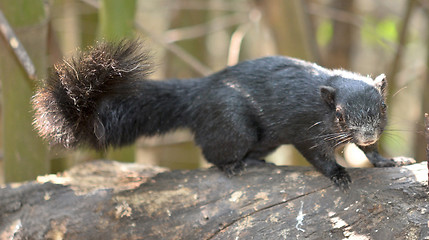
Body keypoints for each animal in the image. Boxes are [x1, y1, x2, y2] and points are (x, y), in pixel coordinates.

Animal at [32, 39, 414, 190]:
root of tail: (199, 92)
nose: (368, 132)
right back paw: (233, 165)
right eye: (339, 114)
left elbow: (370, 153)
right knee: (212, 151)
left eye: (383, 107)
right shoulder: (306, 129)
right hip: (234, 127)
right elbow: (317, 156)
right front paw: (339, 174)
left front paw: (390, 161)